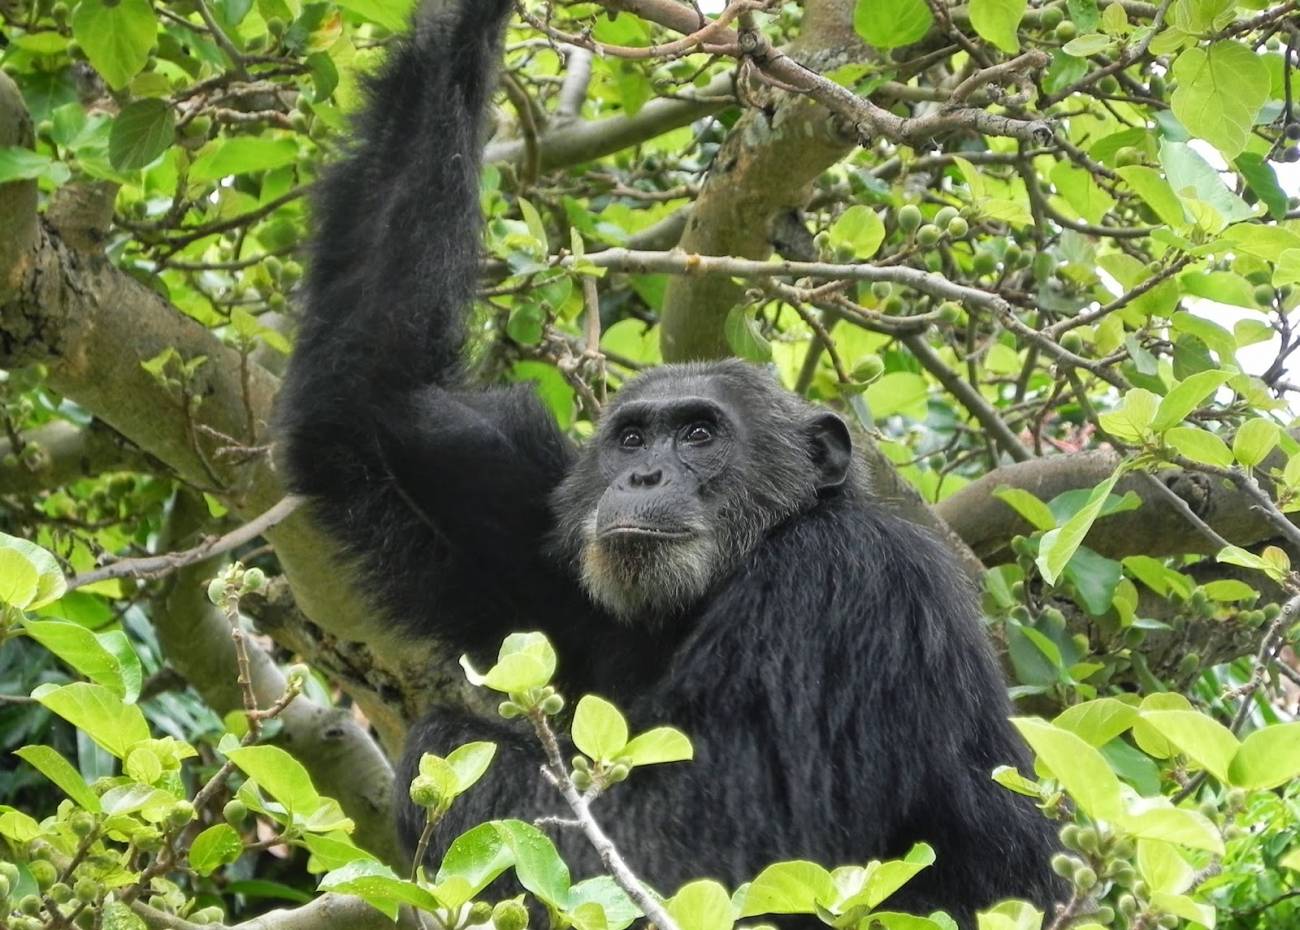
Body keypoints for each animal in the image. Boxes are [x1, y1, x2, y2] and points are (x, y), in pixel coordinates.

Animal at [271, 0, 1055, 926]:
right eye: (635, 439)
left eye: (701, 435)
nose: (644, 477)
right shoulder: (537, 546)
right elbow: (379, 392)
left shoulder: (840, 592)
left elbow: (688, 850)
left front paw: (453, 739)